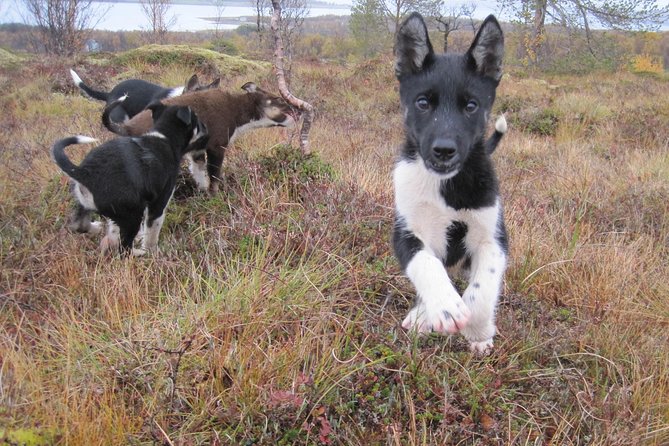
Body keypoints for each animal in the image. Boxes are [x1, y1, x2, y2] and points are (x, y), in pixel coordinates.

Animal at [51, 101, 207, 254]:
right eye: (197, 121)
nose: (206, 128)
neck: (165, 137)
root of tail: (84, 172)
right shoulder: (159, 202)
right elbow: (152, 231)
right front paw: (151, 251)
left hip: (85, 203)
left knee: (79, 225)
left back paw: (97, 227)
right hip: (132, 215)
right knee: (124, 249)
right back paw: (140, 253)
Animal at [392, 13, 506, 356]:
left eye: (471, 106)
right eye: (422, 103)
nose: (443, 151)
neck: (445, 187)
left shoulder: (493, 238)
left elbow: (482, 290)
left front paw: (478, 330)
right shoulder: (406, 232)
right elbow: (427, 265)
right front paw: (444, 307)